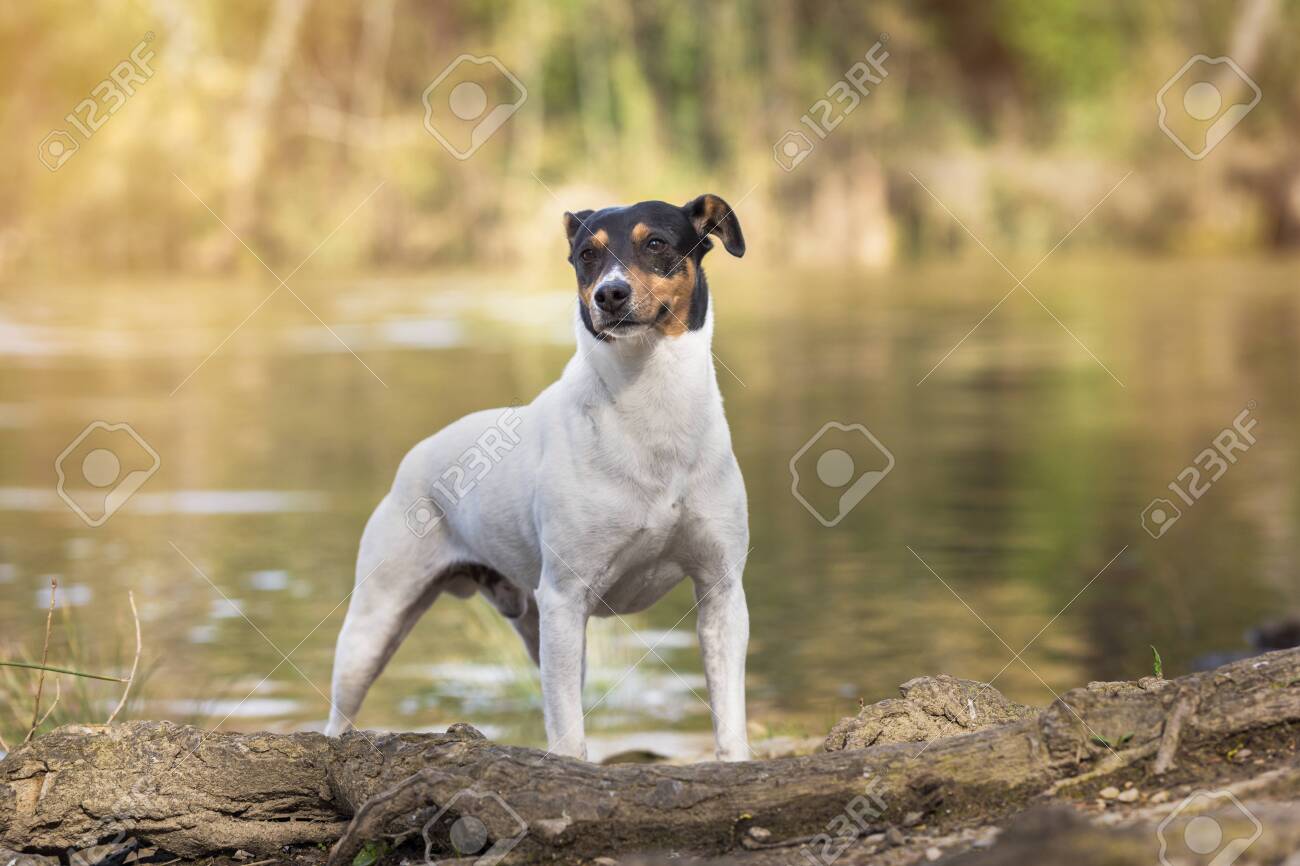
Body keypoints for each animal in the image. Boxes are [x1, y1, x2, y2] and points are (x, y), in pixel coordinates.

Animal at [327, 193, 754, 754]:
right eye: (586, 255)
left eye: (657, 243)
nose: (610, 294)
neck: (651, 407)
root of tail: (416, 455)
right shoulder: (566, 599)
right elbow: (569, 736)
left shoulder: (721, 591)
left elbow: (729, 722)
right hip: (375, 623)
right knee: (338, 713)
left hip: (534, 624)